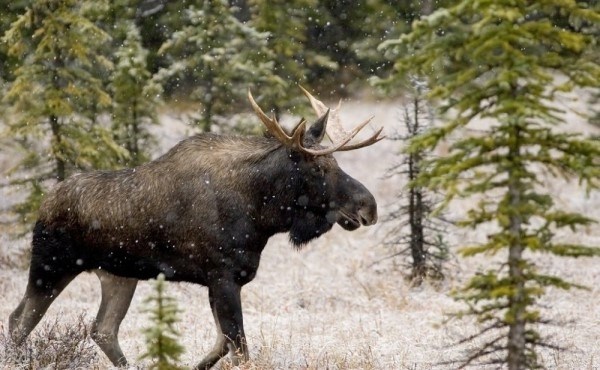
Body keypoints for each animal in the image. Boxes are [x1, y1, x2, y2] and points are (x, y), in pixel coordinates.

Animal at [7, 87, 384, 370]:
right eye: (318, 168)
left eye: (336, 162)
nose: (369, 206)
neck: (261, 214)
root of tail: (44, 203)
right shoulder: (222, 276)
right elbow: (239, 349)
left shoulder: (223, 281)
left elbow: (222, 345)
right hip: (50, 266)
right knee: (18, 320)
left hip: (118, 275)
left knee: (103, 329)